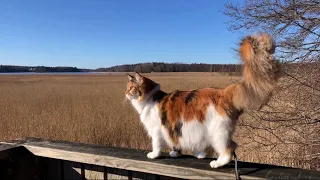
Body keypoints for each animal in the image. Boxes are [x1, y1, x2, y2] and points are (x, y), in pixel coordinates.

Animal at [125, 33, 280, 168]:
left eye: (131, 88)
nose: (125, 94)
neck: (150, 98)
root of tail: (224, 91)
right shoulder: (174, 127)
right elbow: (176, 142)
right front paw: (176, 153)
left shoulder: (157, 130)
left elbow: (156, 145)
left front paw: (153, 155)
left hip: (218, 133)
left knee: (229, 148)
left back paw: (217, 163)